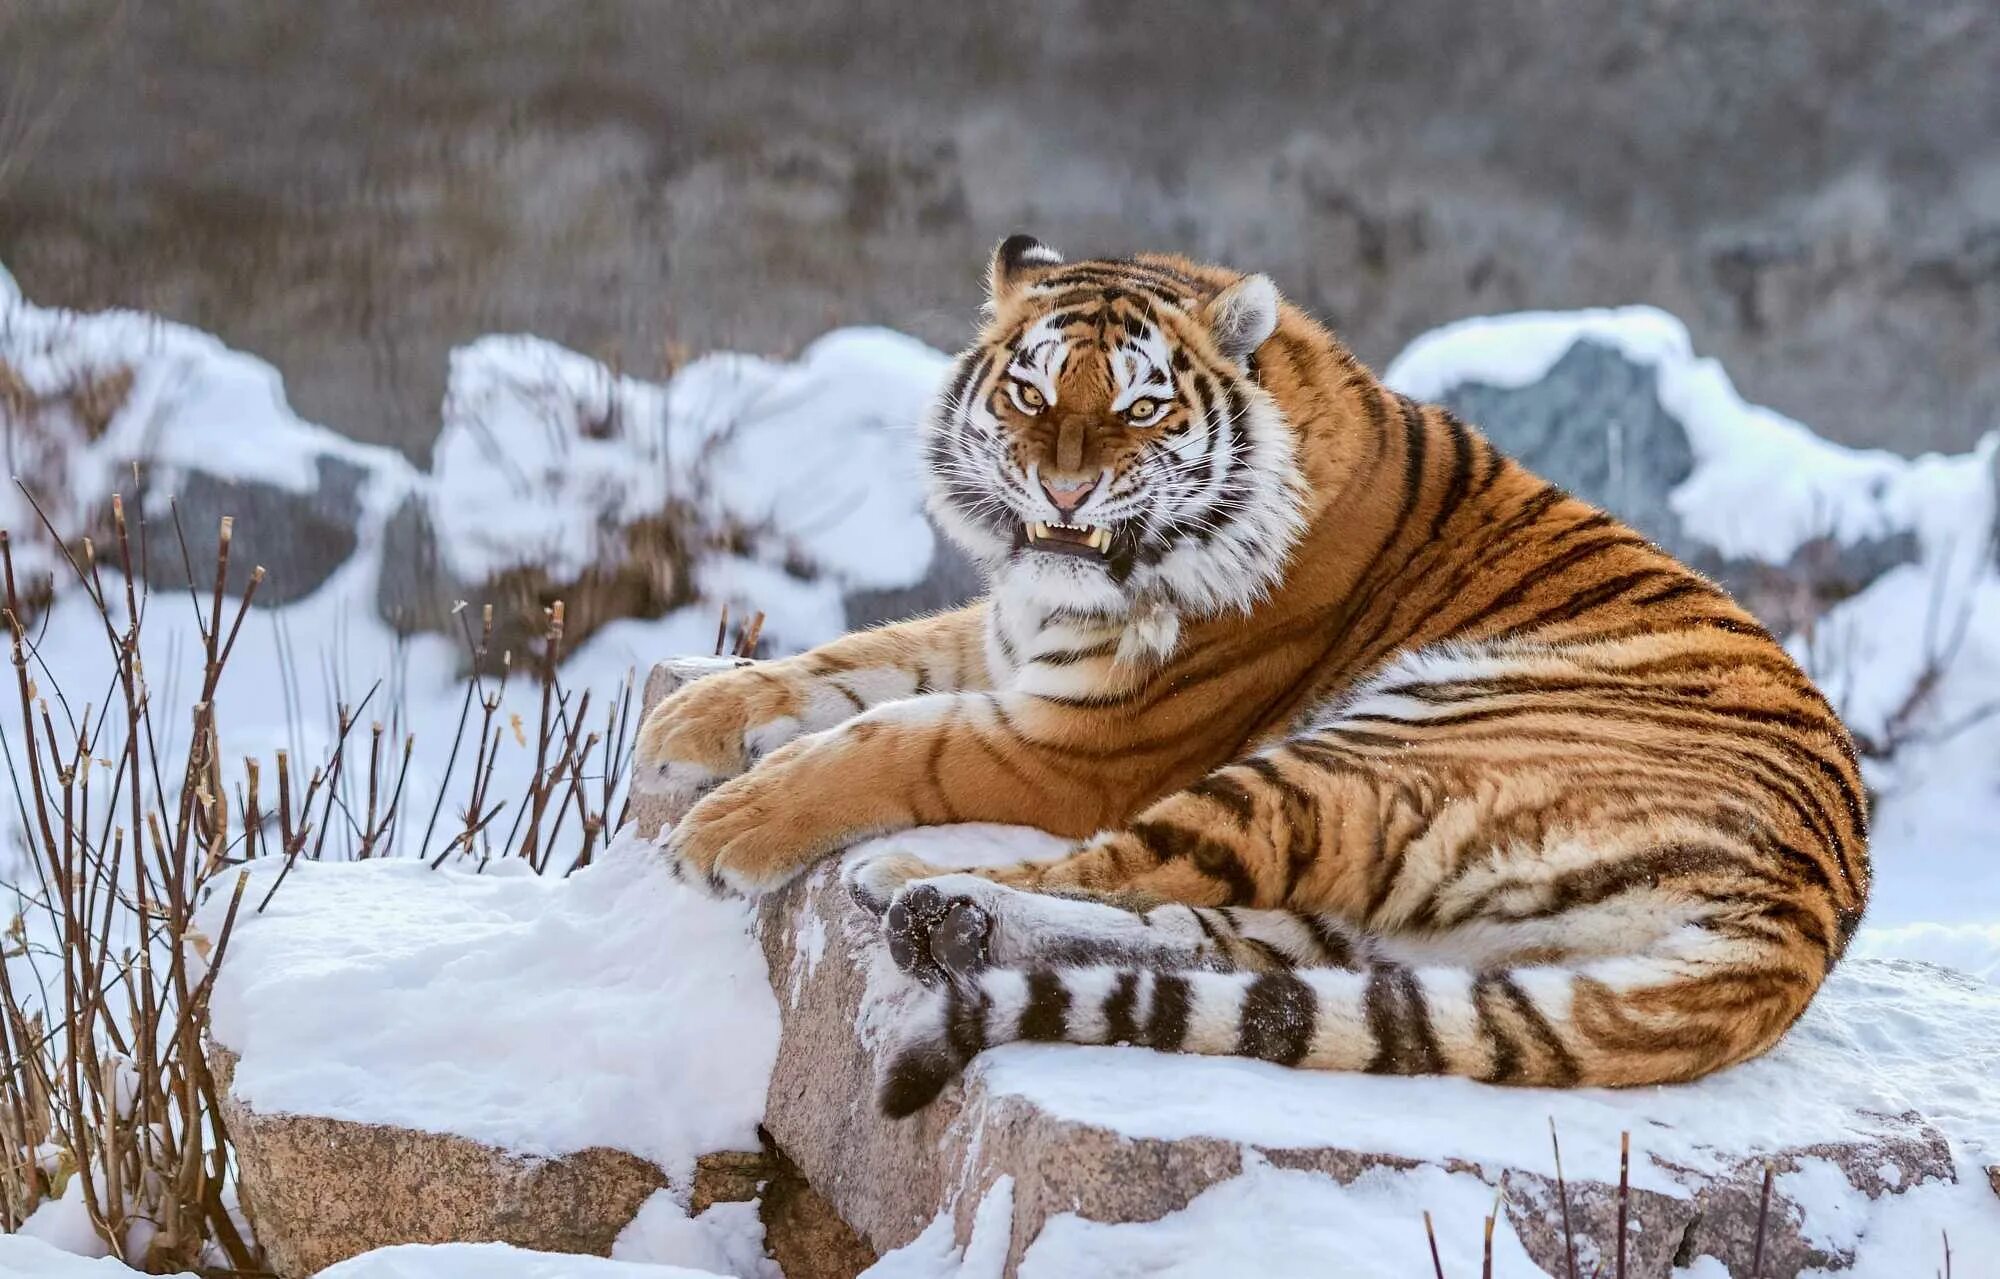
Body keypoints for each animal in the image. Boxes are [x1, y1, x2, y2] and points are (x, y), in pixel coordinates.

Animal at [632, 234, 1864, 1111]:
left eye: (1140, 406)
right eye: (1031, 394)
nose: (1065, 493)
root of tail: (1803, 919)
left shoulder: (1078, 743)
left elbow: (891, 737)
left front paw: (723, 831)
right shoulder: (1012, 634)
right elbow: (858, 659)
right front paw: (692, 719)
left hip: (1377, 748)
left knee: (1124, 870)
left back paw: (913, 888)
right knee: (1208, 940)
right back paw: (952, 924)